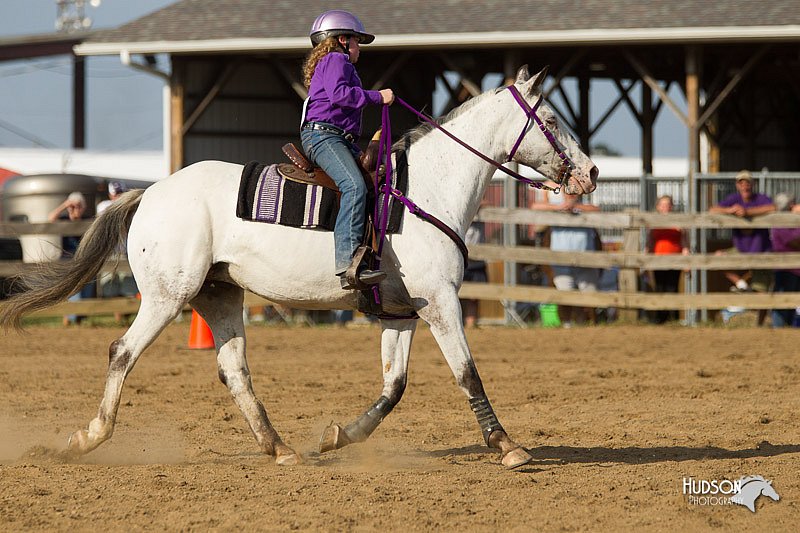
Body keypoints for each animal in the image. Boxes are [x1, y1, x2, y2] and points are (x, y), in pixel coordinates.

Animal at [0, 64, 596, 468]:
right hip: (168, 297)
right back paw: (89, 437)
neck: (427, 188)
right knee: (122, 352)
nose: (590, 172)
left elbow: (395, 386)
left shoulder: (405, 311)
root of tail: (149, 192)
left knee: (234, 370)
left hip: (219, 295)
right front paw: (508, 445)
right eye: (550, 118)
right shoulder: (443, 303)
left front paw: (339, 436)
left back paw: (281, 447)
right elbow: (467, 372)